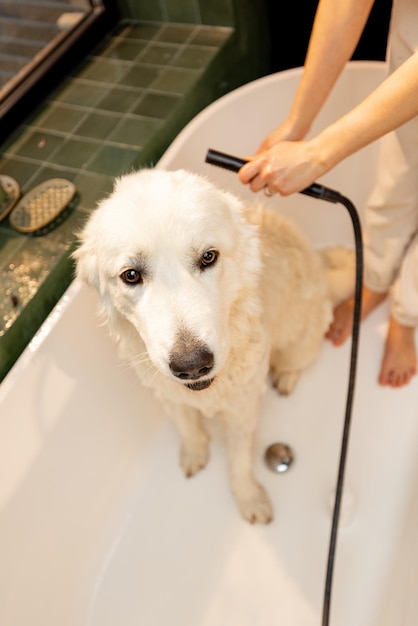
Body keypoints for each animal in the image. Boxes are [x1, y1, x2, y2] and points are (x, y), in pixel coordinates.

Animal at [74, 166, 352, 520]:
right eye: (131, 275)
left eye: (208, 257)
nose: (191, 366)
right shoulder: (168, 393)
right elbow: (187, 426)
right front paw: (194, 452)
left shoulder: (241, 411)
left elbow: (239, 461)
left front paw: (248, 498)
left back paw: (286, 376)